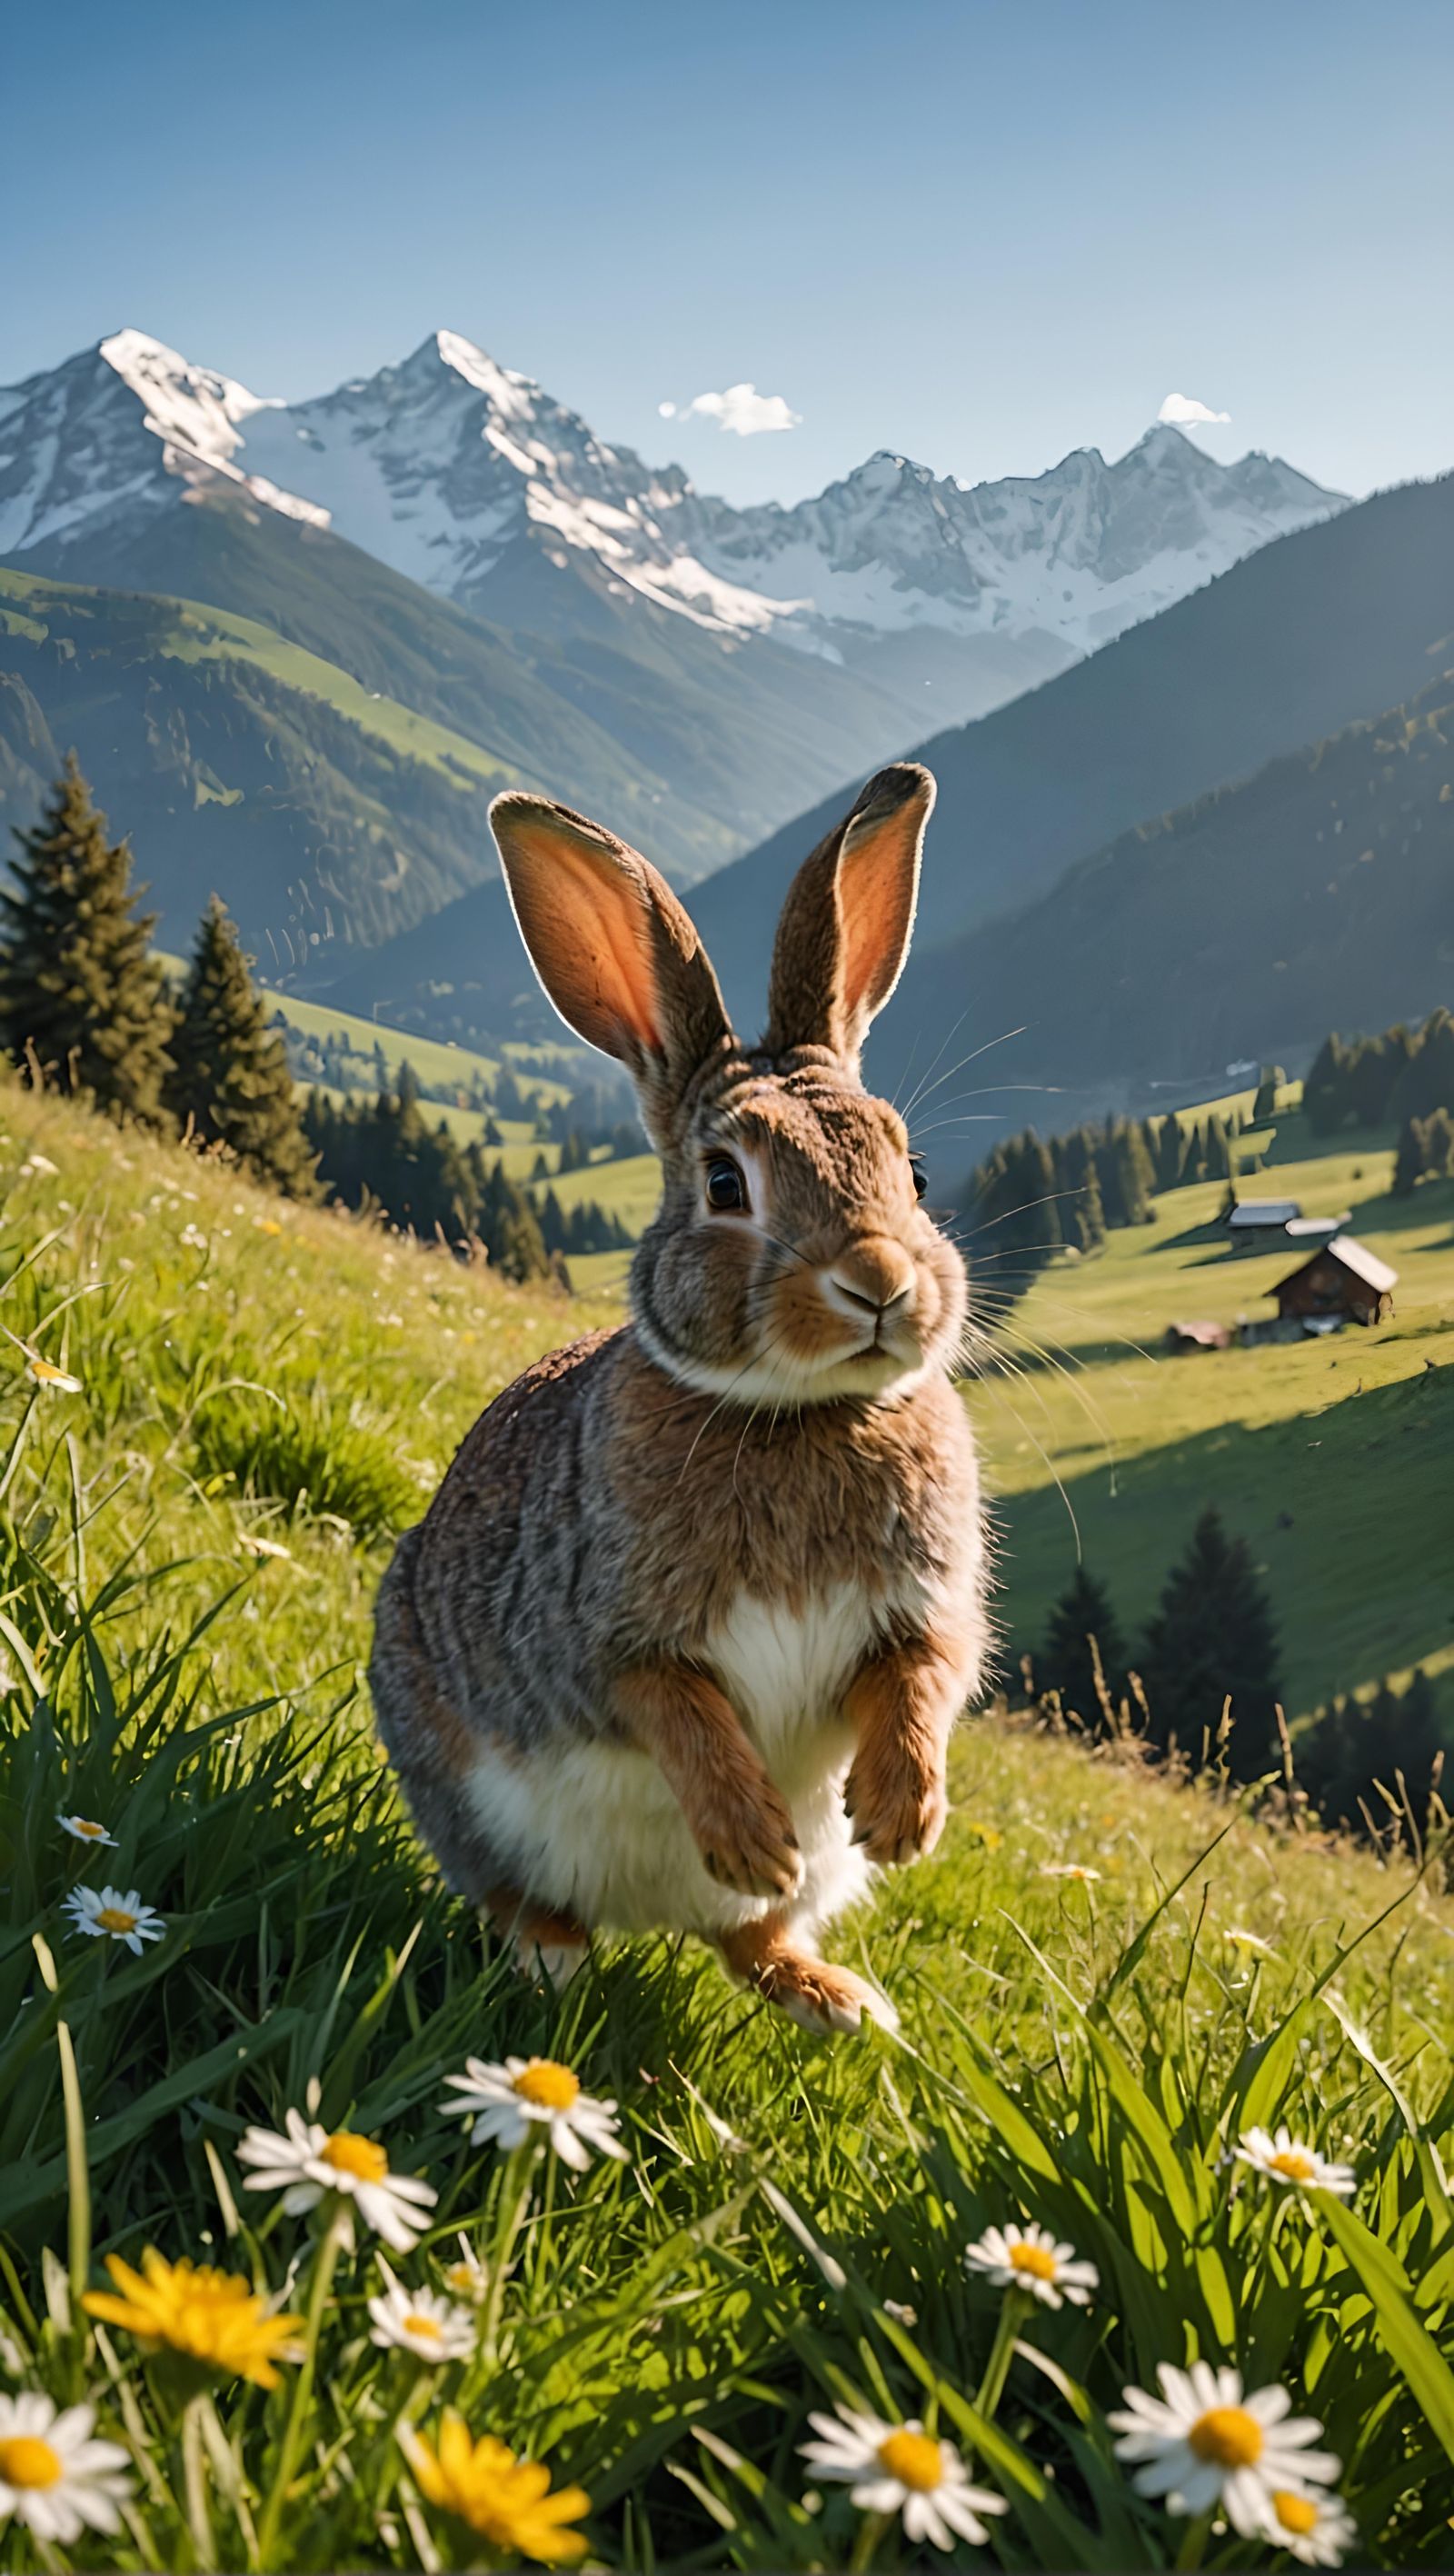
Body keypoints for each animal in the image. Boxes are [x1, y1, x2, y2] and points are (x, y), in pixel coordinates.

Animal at [369, 761, 988, 2034]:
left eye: (909, 1170)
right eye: (723, 1182)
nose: (880, 1282)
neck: (797, 1412)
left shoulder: (925, 1608)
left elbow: (923, 1674)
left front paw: (904, 1816)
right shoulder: (602, 1633)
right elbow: (674, 1707)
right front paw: (748, 1833)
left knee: (749, 1936)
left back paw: (835, 1996)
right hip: (452, 1779)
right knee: (531, 1903)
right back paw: (559, 1965)